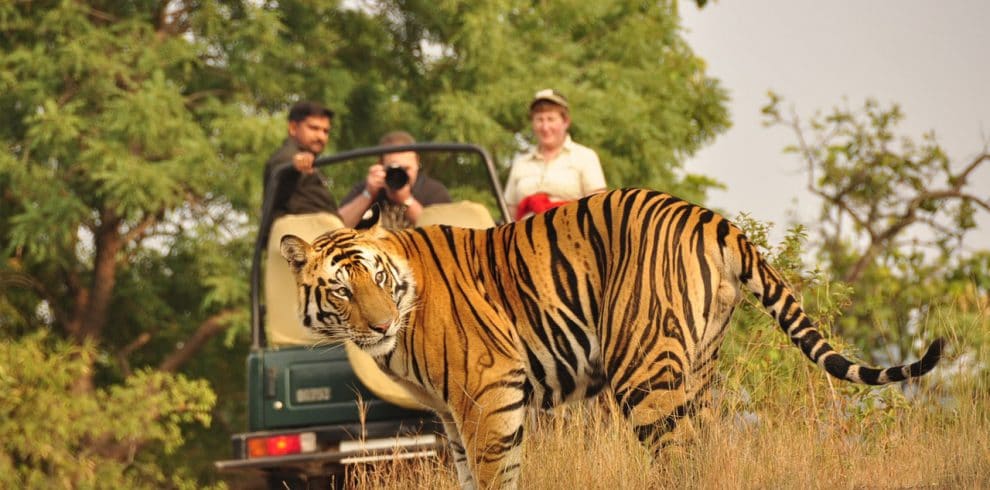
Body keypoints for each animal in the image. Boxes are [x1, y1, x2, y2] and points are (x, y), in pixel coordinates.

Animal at [280, 188, 944, 490]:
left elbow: (498, 474)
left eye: (376, 280)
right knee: (706, 450)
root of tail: (713, 217)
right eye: (341, 291)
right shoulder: (451, 413)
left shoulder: (488, 393)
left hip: (644, 372)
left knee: (679, 459)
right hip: (698, 370)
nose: (379, 325)